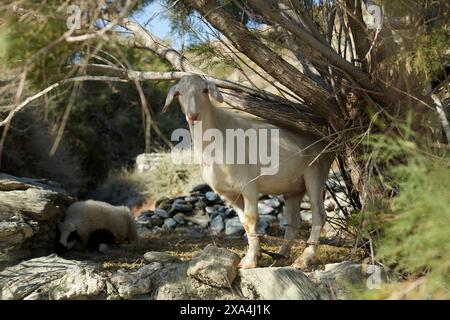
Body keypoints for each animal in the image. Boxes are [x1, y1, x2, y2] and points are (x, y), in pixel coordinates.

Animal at [163, 74, 334, 268]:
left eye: (205, 90)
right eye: (179, 93)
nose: (193, 116)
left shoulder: (248, 185)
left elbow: (252, 218)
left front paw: (250, 260)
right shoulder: (228, 193)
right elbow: (243, 221)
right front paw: (255, 254)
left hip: (316, 169)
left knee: (319, 214)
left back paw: (305, 258)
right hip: (294, 187)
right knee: (293, 221)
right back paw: (282, 254)